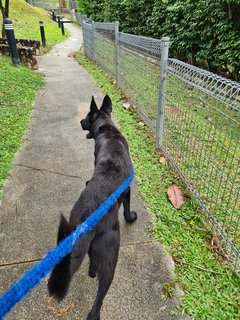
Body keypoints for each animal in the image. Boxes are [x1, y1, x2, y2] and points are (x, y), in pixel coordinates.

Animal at [47, 95, 137, 320]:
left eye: (86, 117)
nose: (80, 122)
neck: (107, 129)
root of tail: (88, 219)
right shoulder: (128, 188)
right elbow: (127, 206)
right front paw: (130, 217)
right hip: (111, 256)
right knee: (100, 294)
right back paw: (94, 312)